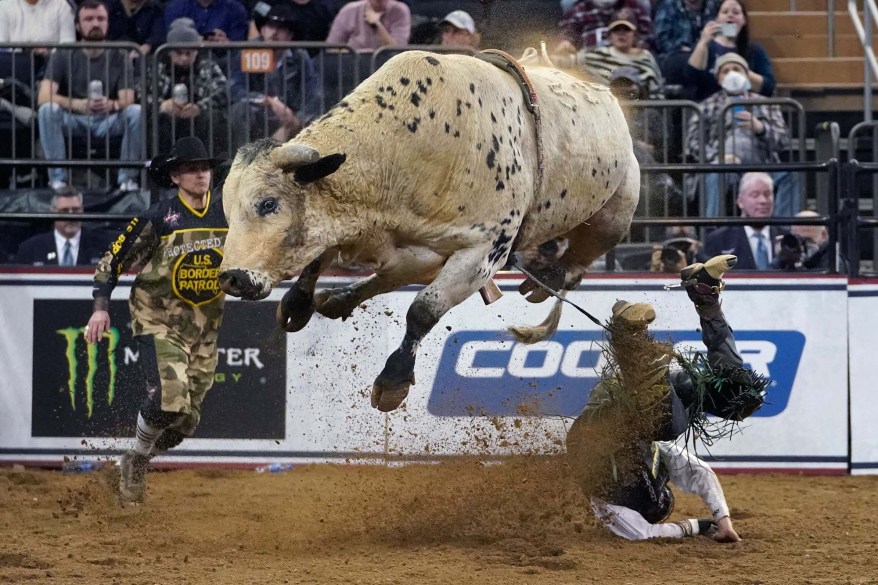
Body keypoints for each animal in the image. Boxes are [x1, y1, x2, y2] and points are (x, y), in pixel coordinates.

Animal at [217, 52, 636, 412]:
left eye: (268, 203)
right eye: (229, 210)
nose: (232, 277)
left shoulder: (484, 252)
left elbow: (423, 309)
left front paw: (393, 381)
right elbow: (319, 256)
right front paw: (298, 304)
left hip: (618, 208)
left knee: (579, 261)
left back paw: (548, 277)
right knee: (385, 278)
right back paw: (339, 299)